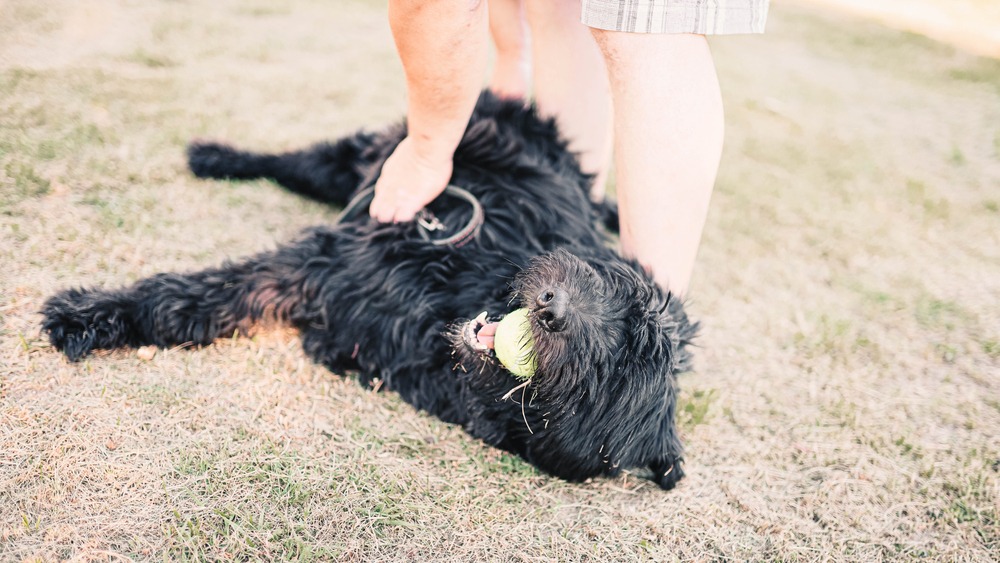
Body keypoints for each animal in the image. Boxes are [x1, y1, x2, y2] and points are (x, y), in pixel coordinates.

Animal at [39, 92, 696, 490]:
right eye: (621, 299)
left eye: (605, 378)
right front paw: (86, 315)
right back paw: (215, 156)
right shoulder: (334, 262)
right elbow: (187, 295)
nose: (552, 305)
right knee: (299, 164)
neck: (439, 320)